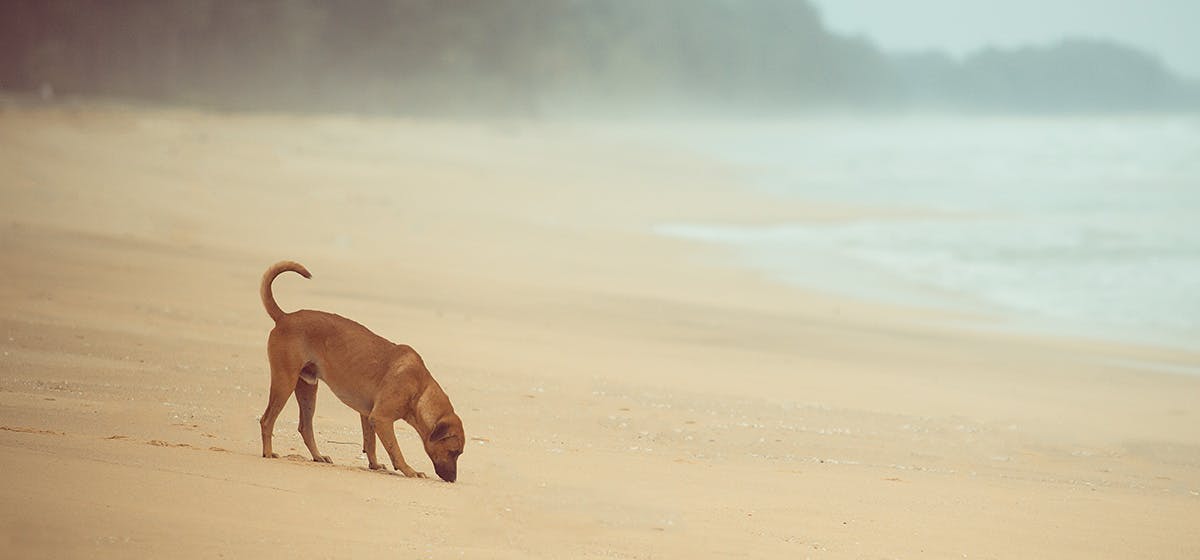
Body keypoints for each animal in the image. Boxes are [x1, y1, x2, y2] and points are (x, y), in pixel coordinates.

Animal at [258, 261, 463, 482]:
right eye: (454, 452)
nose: (453, 479)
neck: (420, 388)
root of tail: (284, 317)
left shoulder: (368, 415)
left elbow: (370, 444)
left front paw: (375, 465)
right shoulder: (381, 419)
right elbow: (396, 451)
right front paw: (410, 471)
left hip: (308, 389)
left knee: (305, 427)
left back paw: (318, 456)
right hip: (284, 382)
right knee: (267, 421)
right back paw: (268, 452)